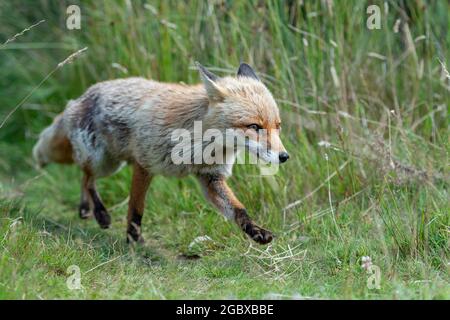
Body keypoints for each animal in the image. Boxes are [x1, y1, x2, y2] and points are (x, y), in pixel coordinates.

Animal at [33, 62, 290, 245]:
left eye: (277, 126)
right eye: (254, 126)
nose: (284, 157)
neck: (199, 144)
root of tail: (79, 98)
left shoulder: (210, 177)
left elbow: (238, 210)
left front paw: (256, 232)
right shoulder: (144, 165)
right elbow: (136, 208)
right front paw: (134, 240)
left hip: (108, 163)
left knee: (85, 176)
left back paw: (85, 209)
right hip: (104, 162)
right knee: (87, 177)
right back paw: (99, 213)